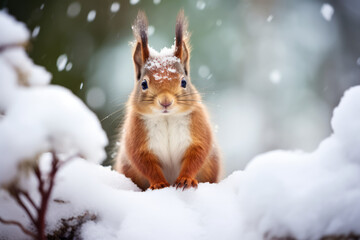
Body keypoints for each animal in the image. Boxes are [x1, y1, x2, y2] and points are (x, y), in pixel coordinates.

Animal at [114, 10, 221, 191]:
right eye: (143, 84)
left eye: (184, 82)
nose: (165, 102)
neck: (167, 118)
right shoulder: (136, 138)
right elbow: (144, 163)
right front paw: (158, 183)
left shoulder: (198, 130)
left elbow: (197, 155)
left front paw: (185, 179)